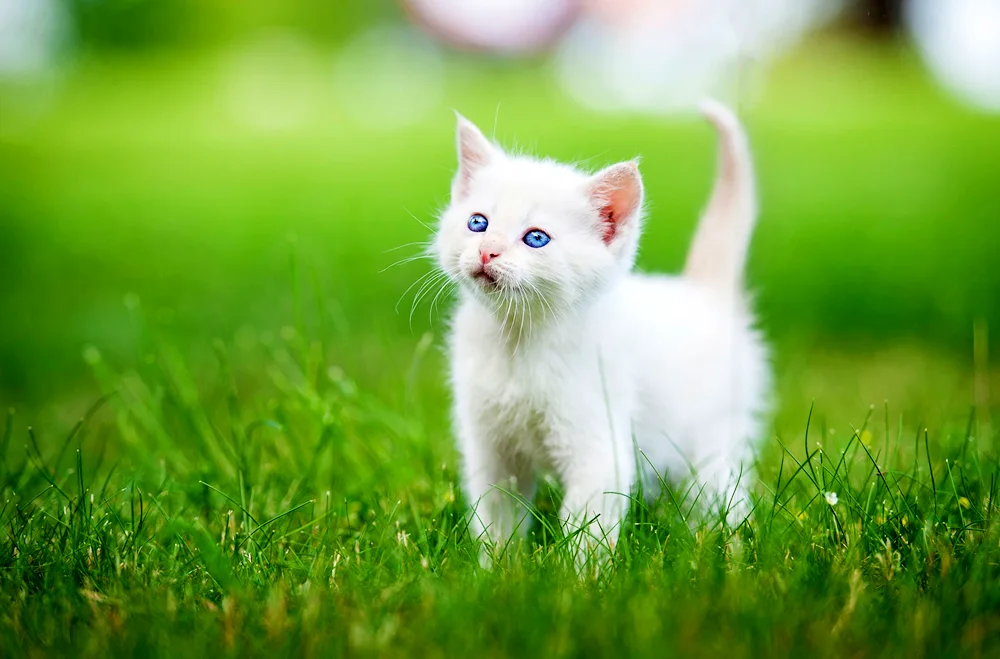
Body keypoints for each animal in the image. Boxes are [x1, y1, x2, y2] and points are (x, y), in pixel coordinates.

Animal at [434, 100, 768, 568]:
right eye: (477, 223)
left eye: (536, 238)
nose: (487, 251)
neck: (517, 342)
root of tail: (704, 294)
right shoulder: (491, 447)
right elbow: (496, 516)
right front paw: (498, 570)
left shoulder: (598, 446)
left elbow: (586, 528)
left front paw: (578, 578)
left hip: (715, 439)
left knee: (721, 497)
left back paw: (720, 549)